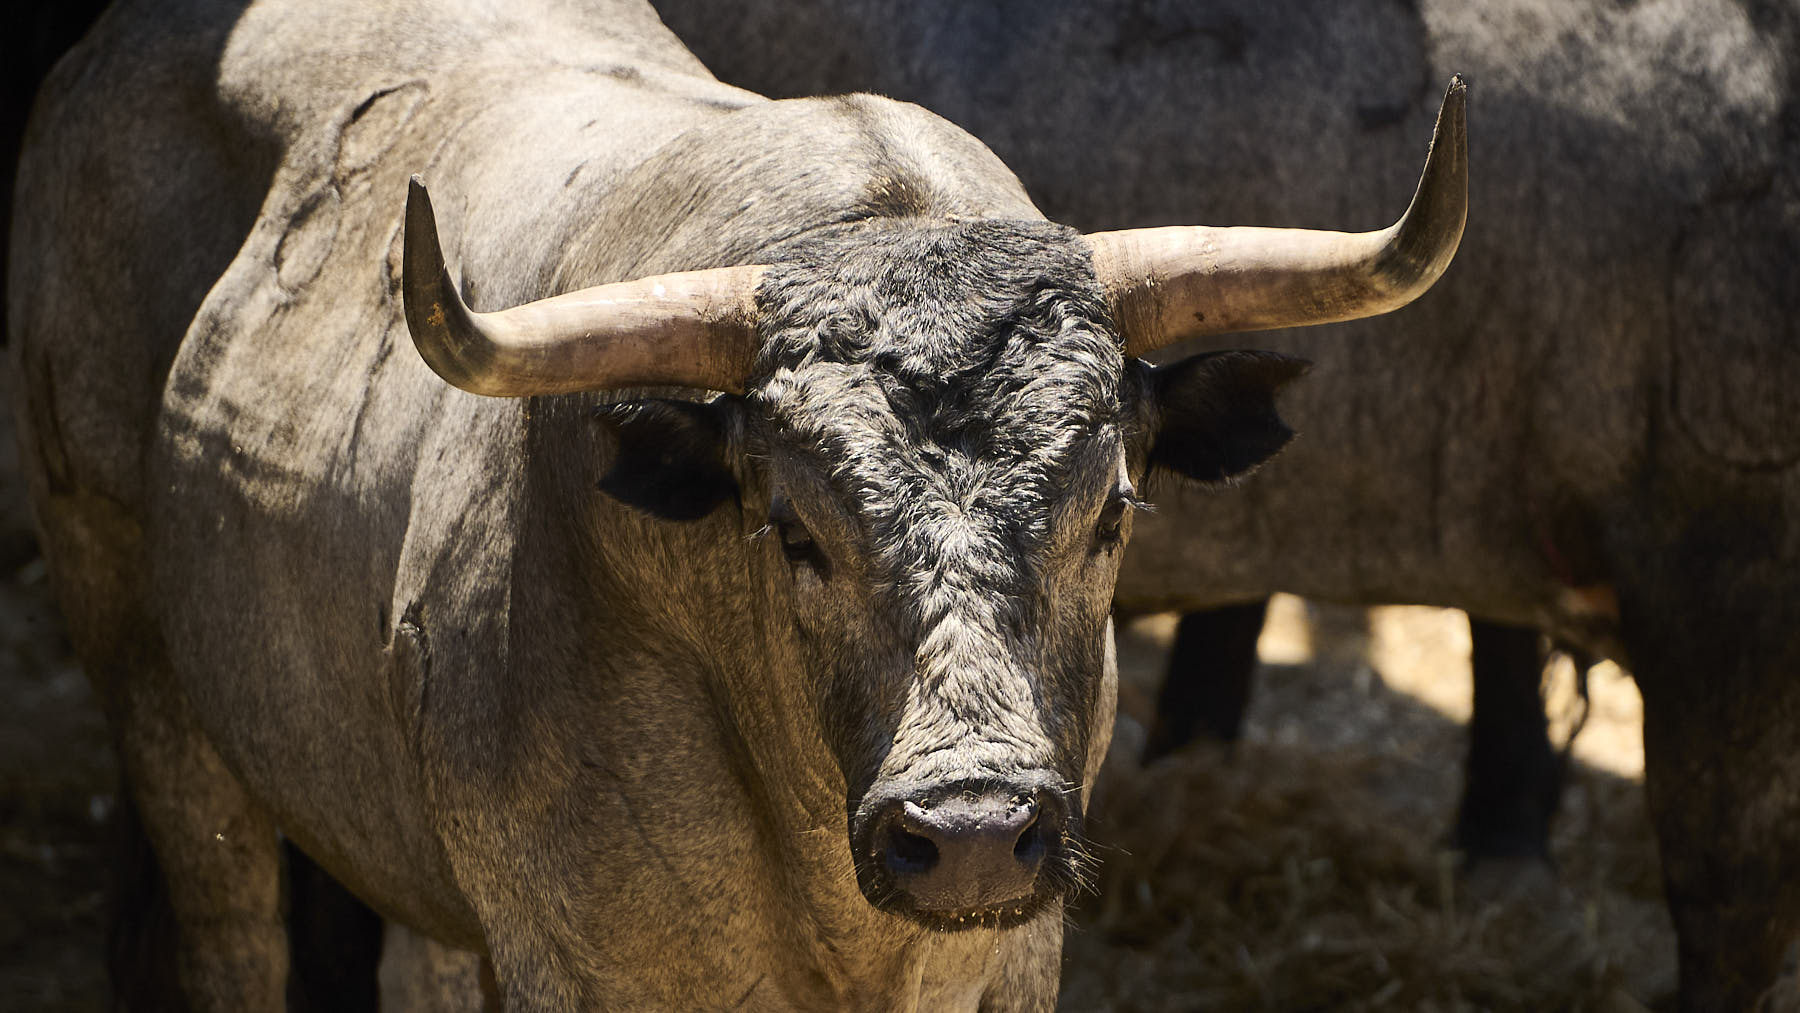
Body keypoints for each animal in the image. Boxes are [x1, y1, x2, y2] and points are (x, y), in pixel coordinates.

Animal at [10, 0, 1461, 1007]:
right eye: (795, 532)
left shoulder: (1010, 955)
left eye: (1110, 513)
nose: (972, 834)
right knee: (227, 931)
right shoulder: (575, 960)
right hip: (137, 652)